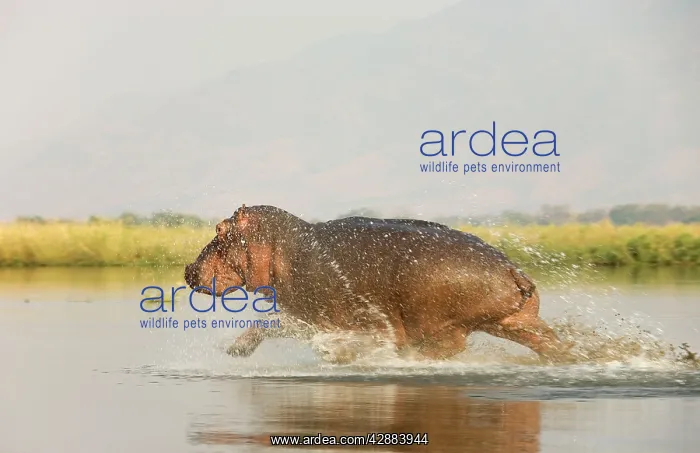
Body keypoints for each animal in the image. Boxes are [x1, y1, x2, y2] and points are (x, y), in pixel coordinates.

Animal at [184, 204, 568, 361]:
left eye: (219, 229)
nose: (188, 267)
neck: (281, 245)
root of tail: (514, 271)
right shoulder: (303, 316)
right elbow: (267, 325)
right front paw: (235, 350)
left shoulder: (331, 317)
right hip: (516, 320)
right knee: (548, 341)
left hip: (438, 324)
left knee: (444, 348)